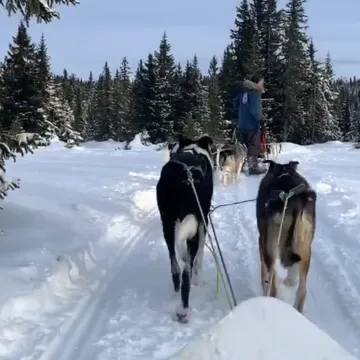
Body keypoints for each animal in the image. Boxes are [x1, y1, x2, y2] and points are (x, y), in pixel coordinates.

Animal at [156, 134, 215, 324]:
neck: (192, 149)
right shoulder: (203, 223)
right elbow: (199, 258)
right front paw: (199, 278)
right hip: (193, 229)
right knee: (186, 273)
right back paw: (183, 309)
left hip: (167, 225)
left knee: (175, 266)